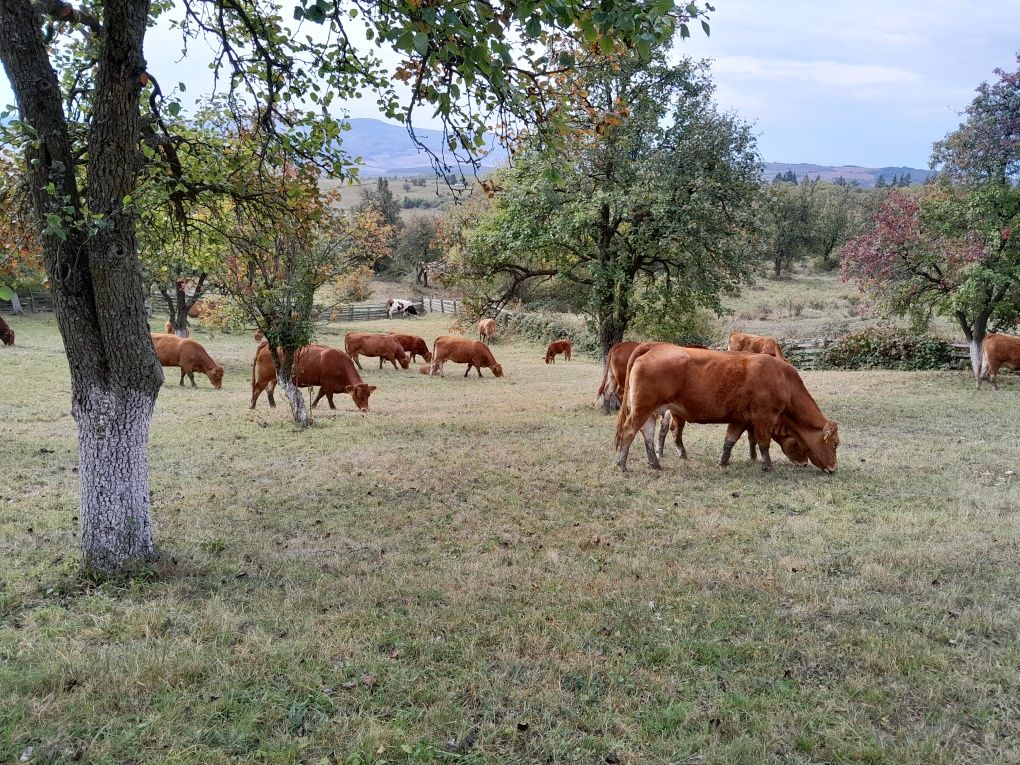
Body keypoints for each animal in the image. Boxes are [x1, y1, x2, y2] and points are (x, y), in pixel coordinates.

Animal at [248, 342, 377, 414]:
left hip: (274, 378)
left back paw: (273, 406)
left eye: (368, 395)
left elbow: (320, 394)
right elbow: (329, 396)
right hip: (264, 377)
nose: (365, 409)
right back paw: (252, 406)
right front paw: (333, 407)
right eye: (359, 395)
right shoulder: (328, 383)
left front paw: (313, 405)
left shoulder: (324, 384)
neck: (340, 363)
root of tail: (266, 345)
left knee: (269, 390)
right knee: (257, 389)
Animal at [612, 342, 836, 473]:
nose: (833, 467)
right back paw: (622, 465)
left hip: (649, 411)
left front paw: (723, 462)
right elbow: (763, 443)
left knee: (647, 434)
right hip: (642, 408)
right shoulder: (764, 418)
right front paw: (768, 466)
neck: (783, 380)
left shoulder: (739, 419)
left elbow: (730, 441)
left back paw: (655, 464)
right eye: (835, 444)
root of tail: (654, 346)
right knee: (628, 431)